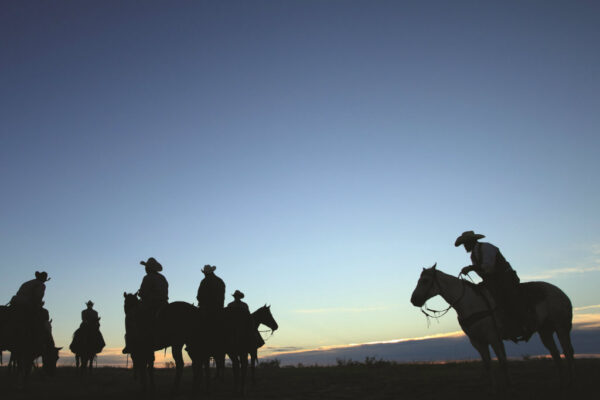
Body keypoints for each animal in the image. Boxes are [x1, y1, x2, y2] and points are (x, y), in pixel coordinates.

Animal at [410, 263, 574, 391]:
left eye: (425, 280)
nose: (414, 300)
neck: (470, 303)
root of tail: (562, 294)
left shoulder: (493, 337)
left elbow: (502, 361)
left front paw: (509, 386)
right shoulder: (477, 341)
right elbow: (488, 364)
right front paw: (494, 388)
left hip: (561, 327)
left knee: (567, 352)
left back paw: (570, 382)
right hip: (545, 331)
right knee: (555, 354)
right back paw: (562, 384)